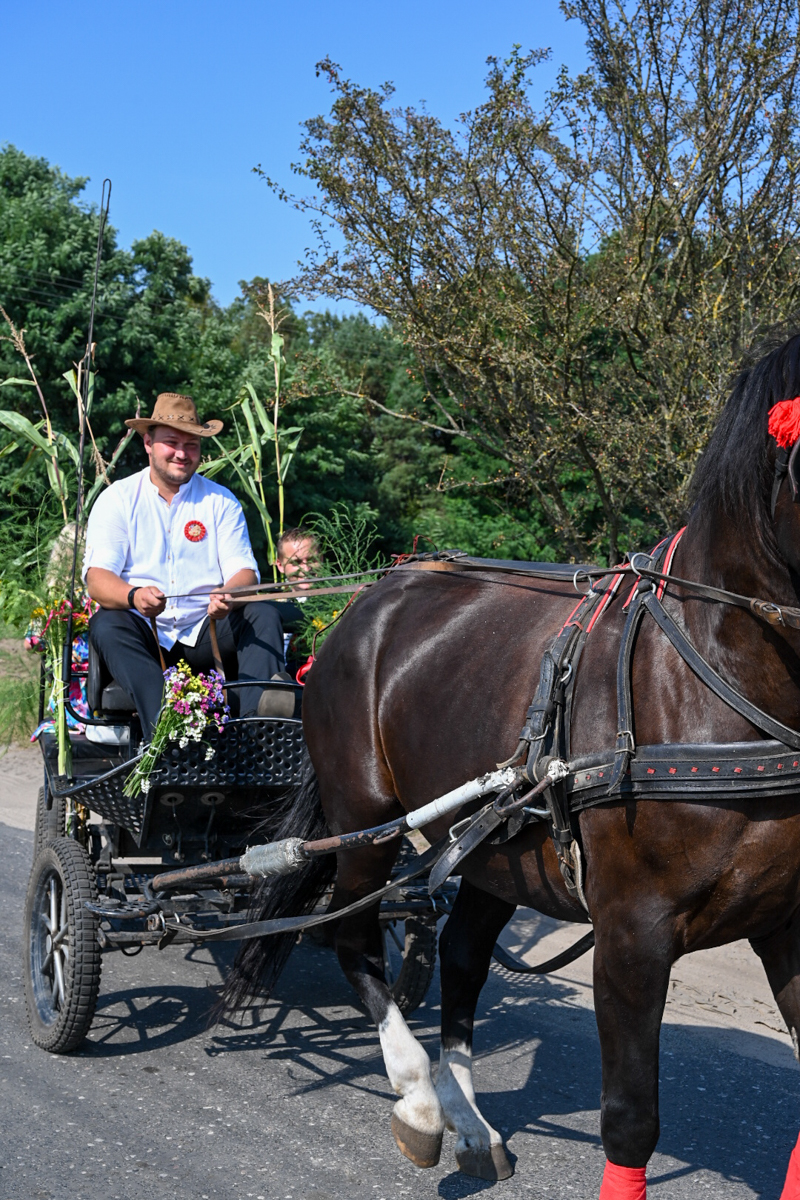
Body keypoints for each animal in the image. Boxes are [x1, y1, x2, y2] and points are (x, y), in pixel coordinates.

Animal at [225, 333, 800, 1195]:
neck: (718, 682)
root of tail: (369, 599)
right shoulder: (633, 933)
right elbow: (631, 1120)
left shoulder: (791, 927)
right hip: (367, 821)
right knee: (354, 938)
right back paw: (419, 1100)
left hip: (497, 849)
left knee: (461, 958)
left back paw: (467, 1120)